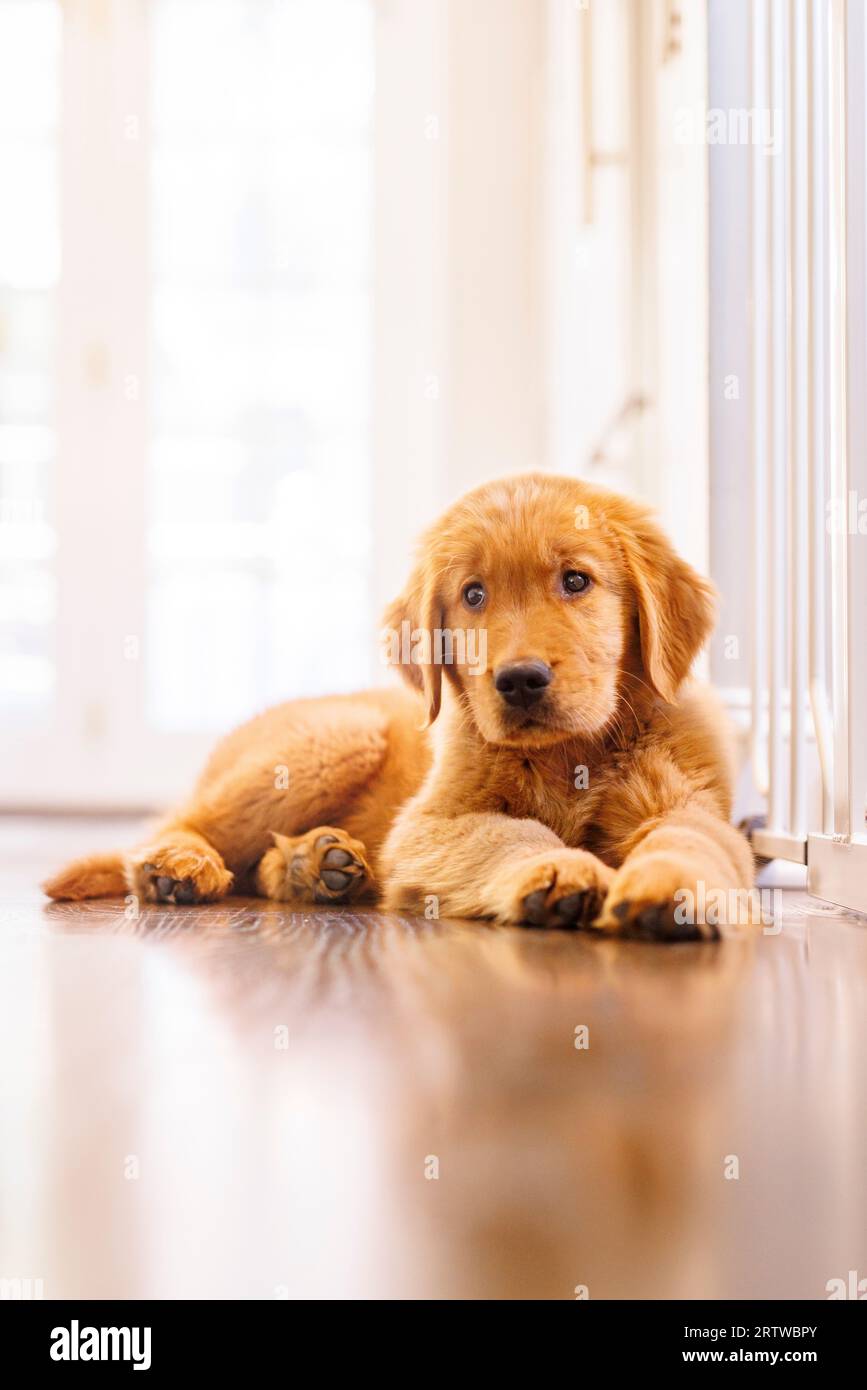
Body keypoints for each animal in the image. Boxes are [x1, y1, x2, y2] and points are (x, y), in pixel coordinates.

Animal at [45, 472, 750, 939]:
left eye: (576, 581)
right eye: (472, 595)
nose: (520, 681)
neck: (568, 754)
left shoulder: (693, 803)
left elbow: (690, 837)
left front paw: (669, 888)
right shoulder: (428, 825)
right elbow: (512, 832)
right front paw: (556, 870)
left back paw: (315, 865)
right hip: (339, 736)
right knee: (177, 825)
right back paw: (177, 868)